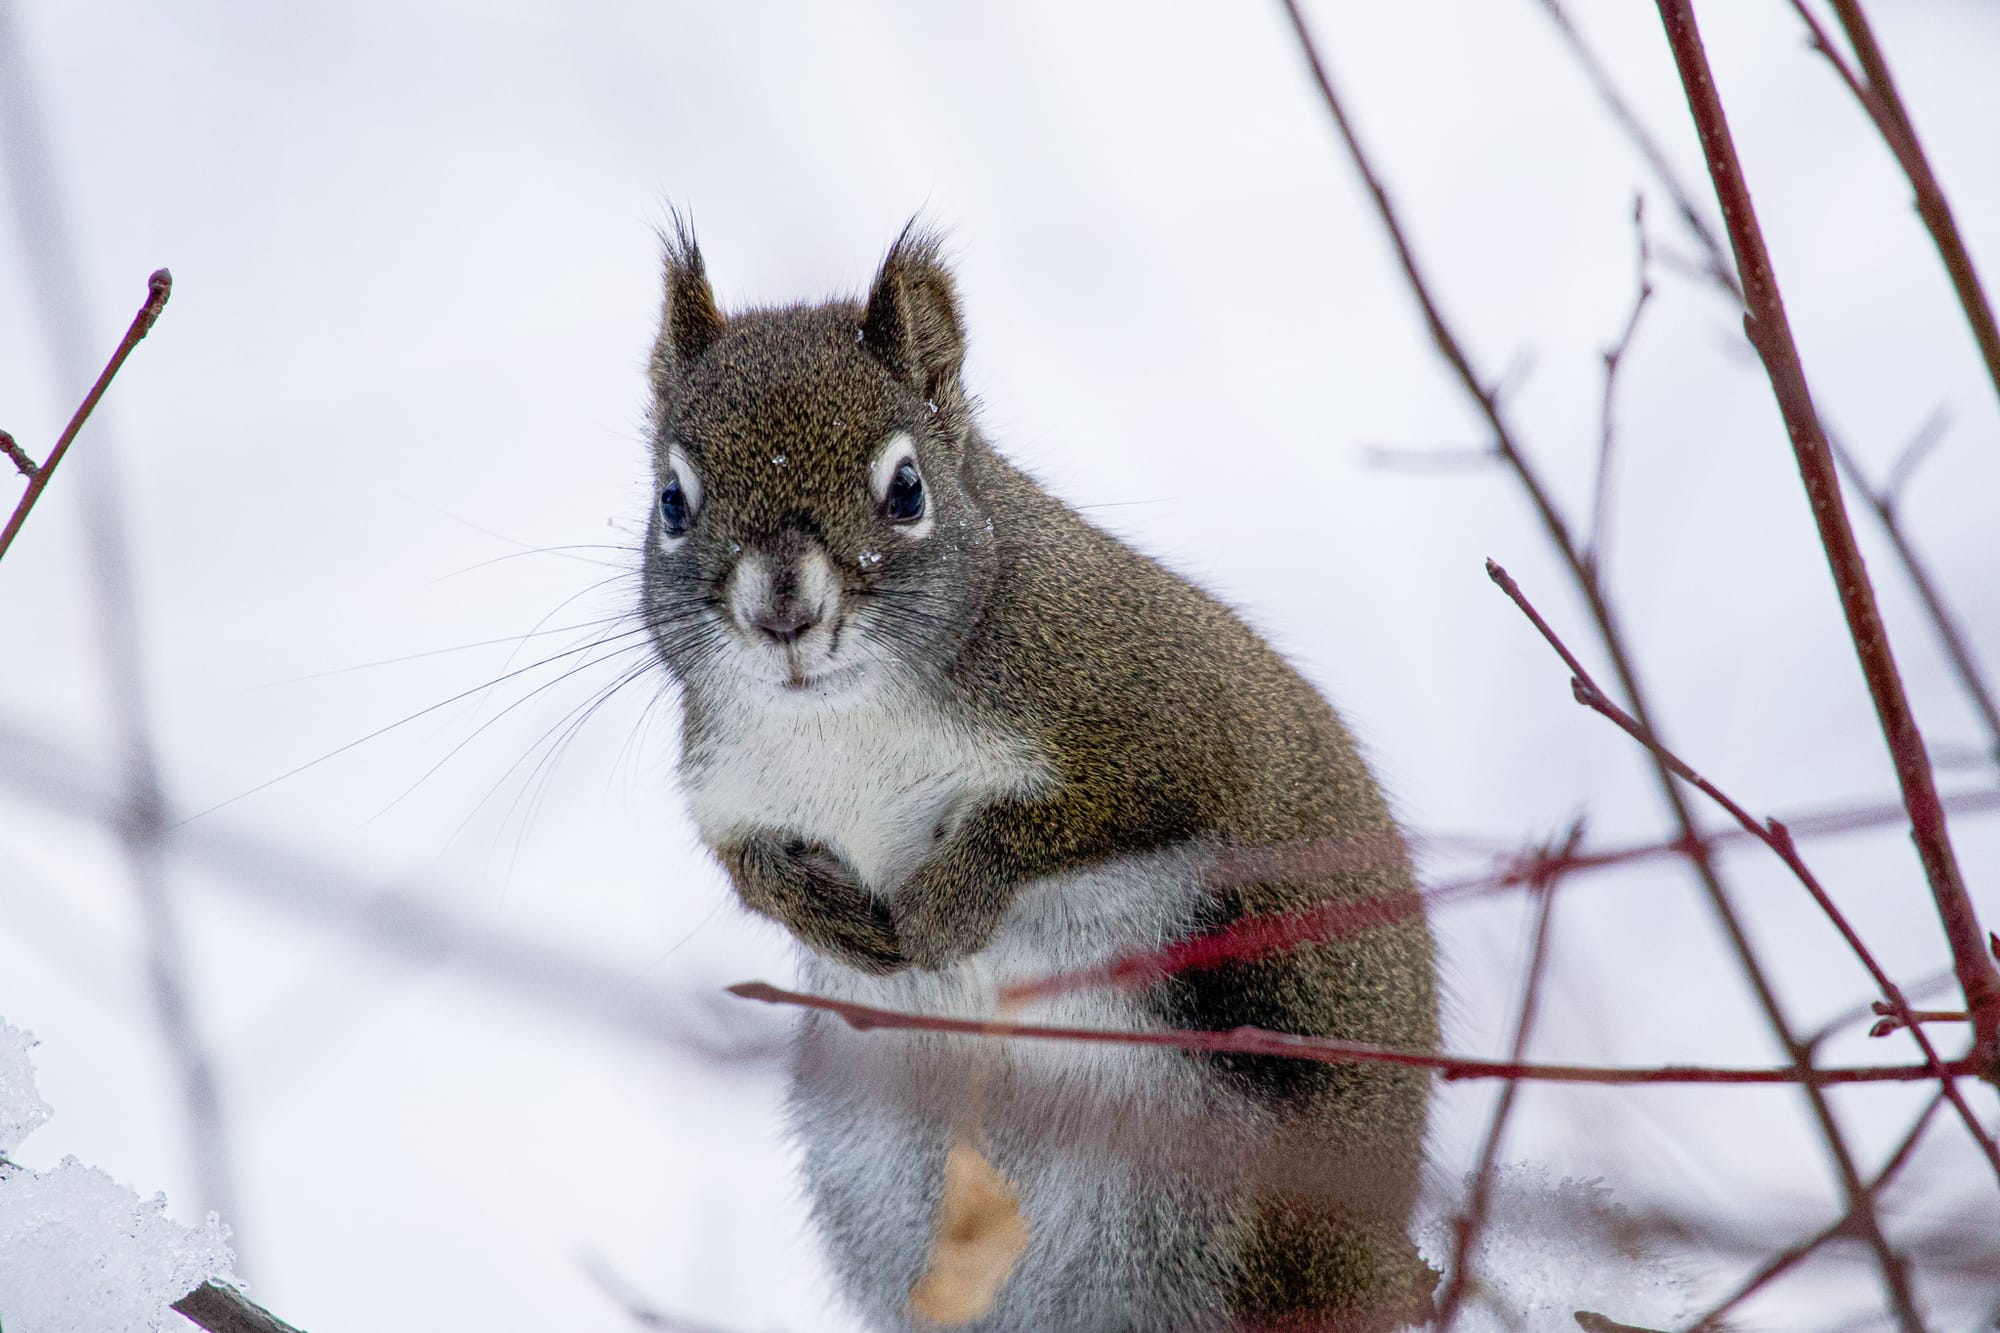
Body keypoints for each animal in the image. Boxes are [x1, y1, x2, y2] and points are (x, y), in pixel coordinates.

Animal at [640, 219, 1441, 1333]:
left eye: (906, 488)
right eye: (673, 501)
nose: (782, 612)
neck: (843, 721)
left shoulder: (1157, 727)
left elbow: (1063, 824)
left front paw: (943, 907)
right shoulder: (728, 784)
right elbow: (746, 868)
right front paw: (832, 920)